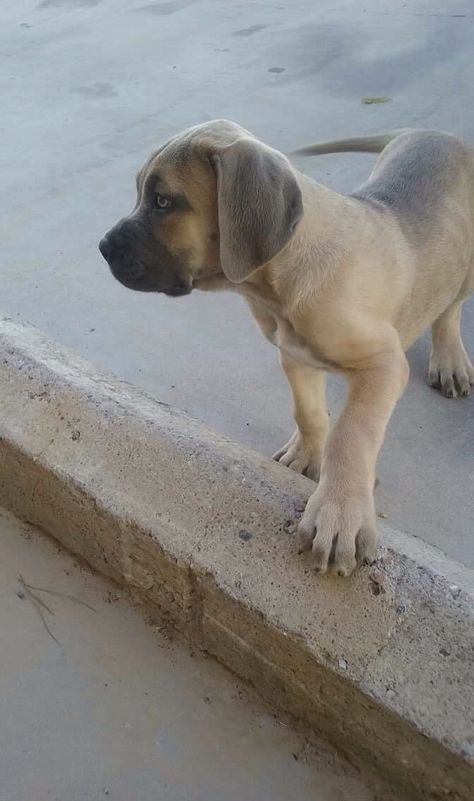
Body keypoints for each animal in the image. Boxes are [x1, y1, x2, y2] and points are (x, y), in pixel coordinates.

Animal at [98, 120, 472, 576]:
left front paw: (339, 510)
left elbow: (351, 434)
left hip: (466, 265)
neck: (279, 287)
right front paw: (306, 454)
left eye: (163, 201)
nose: (103, 247)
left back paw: (450, 358)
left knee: (450, 308)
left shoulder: (383, 366)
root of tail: (429, 132)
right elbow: (307, 411)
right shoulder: (293, 354)